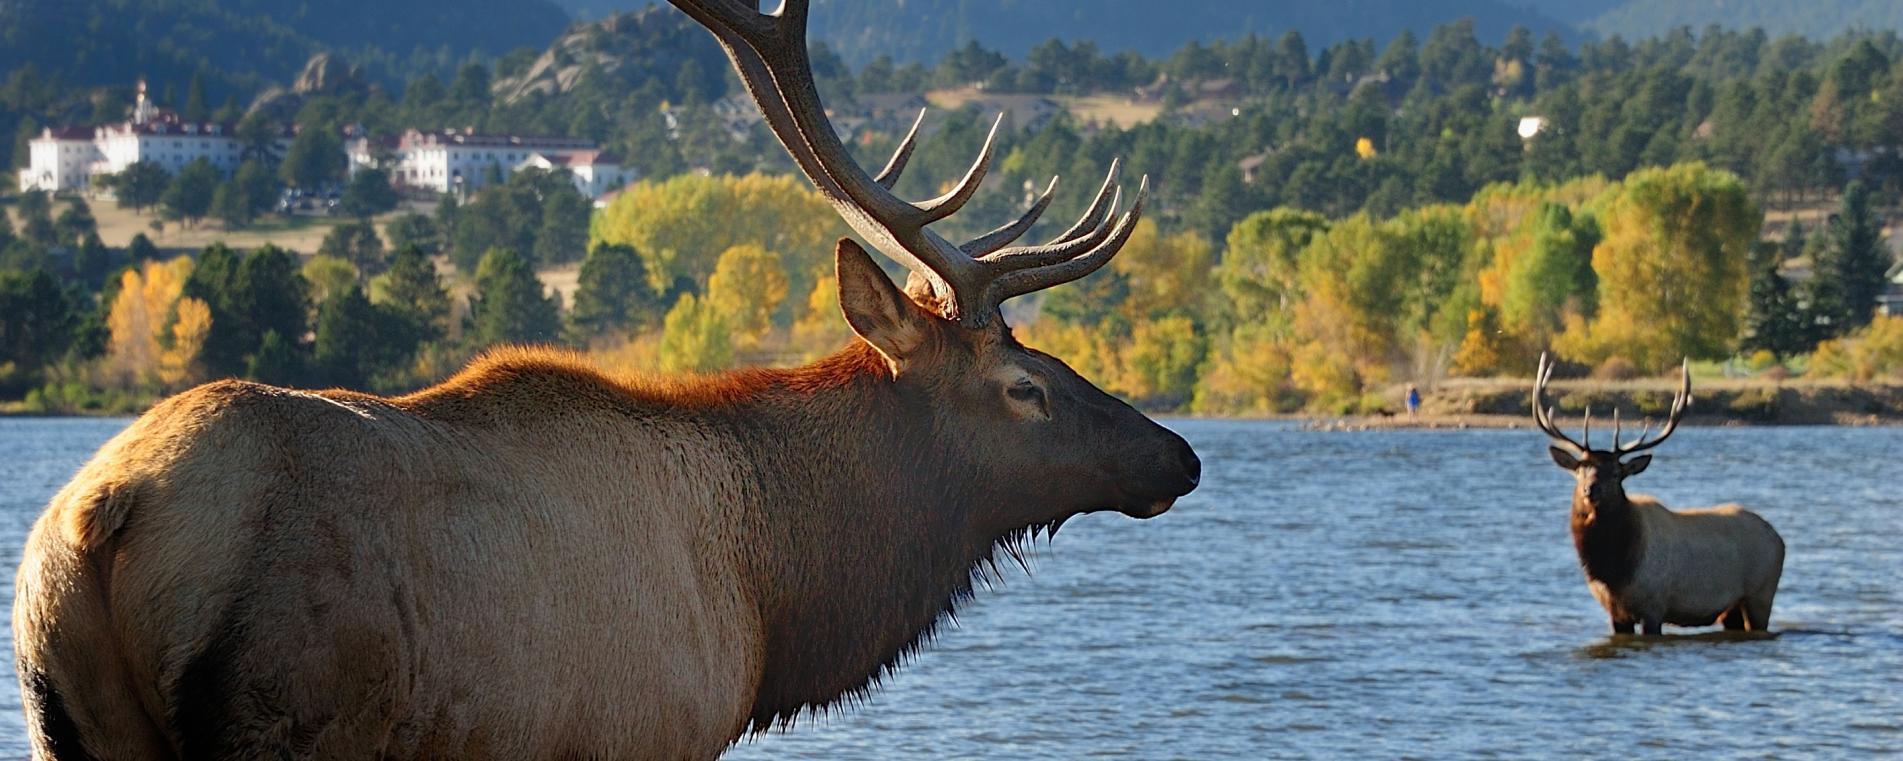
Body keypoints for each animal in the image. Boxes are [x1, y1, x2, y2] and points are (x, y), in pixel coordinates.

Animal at [14, 2, 1195, 757]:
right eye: (1023, 383)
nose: (1180, 453)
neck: (772, 596)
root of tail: (103, 514)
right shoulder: (651, 725)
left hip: (68, 720)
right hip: (285, 709)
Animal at [1530, 357, 1781, 635]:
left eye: (1616, 473)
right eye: (1580, 470)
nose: (1591, 489)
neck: (1614, 572)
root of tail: (1779, 539)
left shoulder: (1654, 606)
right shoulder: (1615, 613)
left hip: (1760, 595)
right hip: (1732, 608)